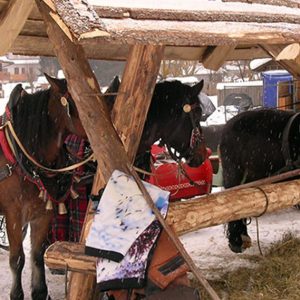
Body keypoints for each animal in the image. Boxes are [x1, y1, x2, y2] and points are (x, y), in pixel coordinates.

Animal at [0, 73, 86, 300]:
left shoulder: (43, 213)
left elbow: (37, 254)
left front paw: (39, 291)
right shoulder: (13, 214)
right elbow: (17, 259)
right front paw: (16, 294)